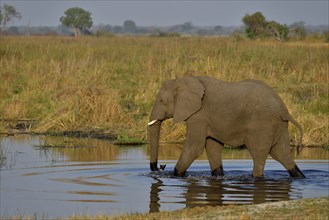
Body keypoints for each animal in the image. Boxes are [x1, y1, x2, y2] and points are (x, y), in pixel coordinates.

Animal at [147, 76, 304, 179]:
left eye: (162, 101)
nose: (159, 167)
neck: (185, 80)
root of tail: (283, 109)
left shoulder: (199, 115)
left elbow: (194, 148)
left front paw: (175, 175)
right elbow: (213, 146)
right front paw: (218, 176)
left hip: (262, 125)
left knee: (259, 155)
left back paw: (256, 178)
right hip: (279, 126)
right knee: (282, 154)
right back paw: (299, 177)